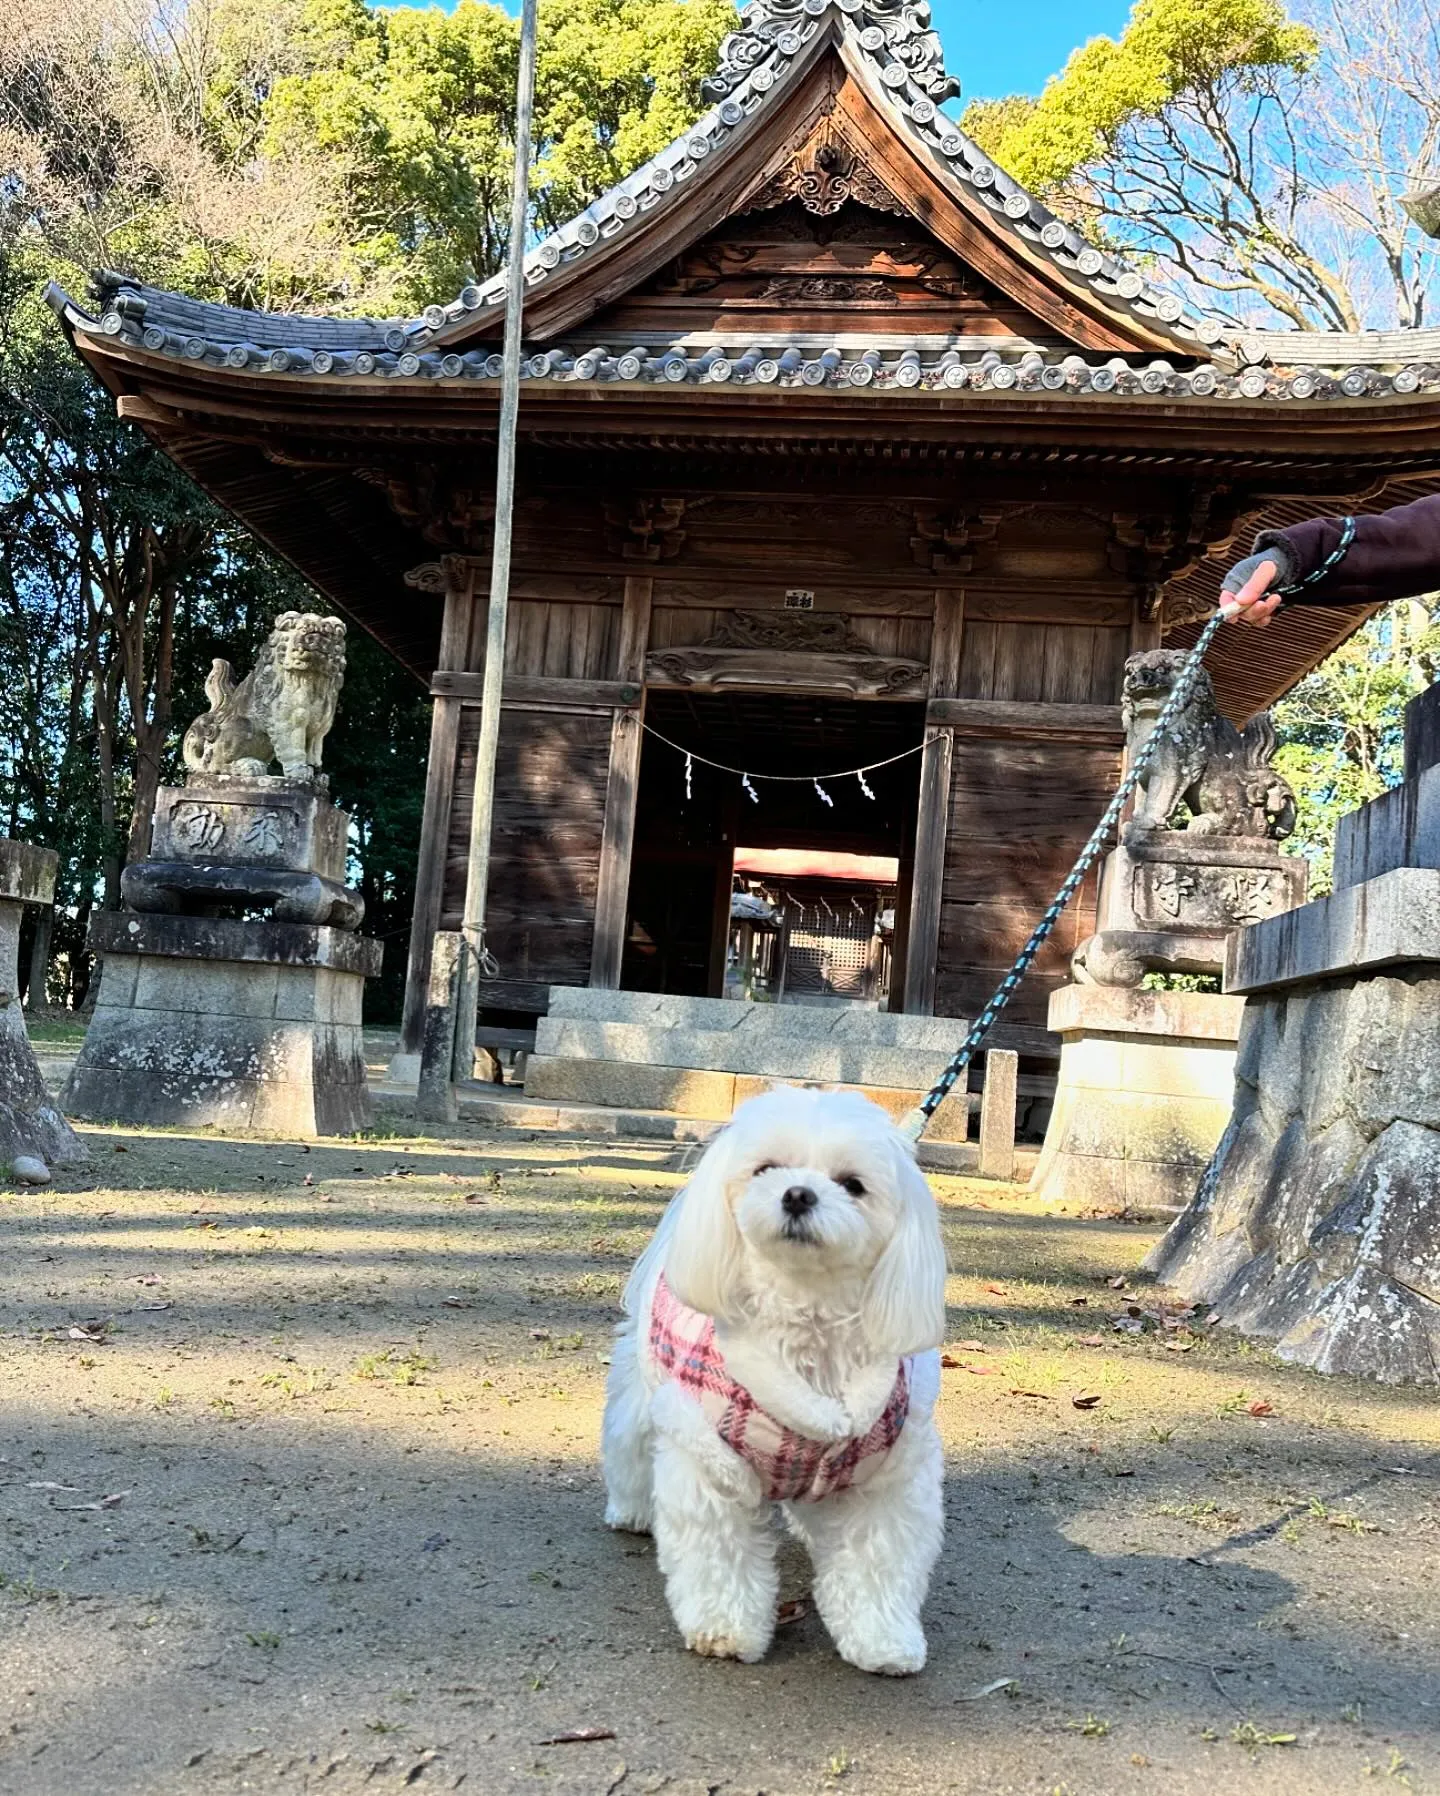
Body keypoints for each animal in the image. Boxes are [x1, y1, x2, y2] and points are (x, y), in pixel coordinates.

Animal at [599, 1084, 948, 1673]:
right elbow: (719, 1554)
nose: (799, 1195)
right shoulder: (711, 1464)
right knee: (629, 1443)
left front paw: (882, 1640)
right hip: (645, 1391)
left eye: (853, 1184)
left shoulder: (886, 1479)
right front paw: (725, 1630)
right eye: (767, 1168)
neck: (808, 1322)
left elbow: (876, 1561)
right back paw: (632, 1510)